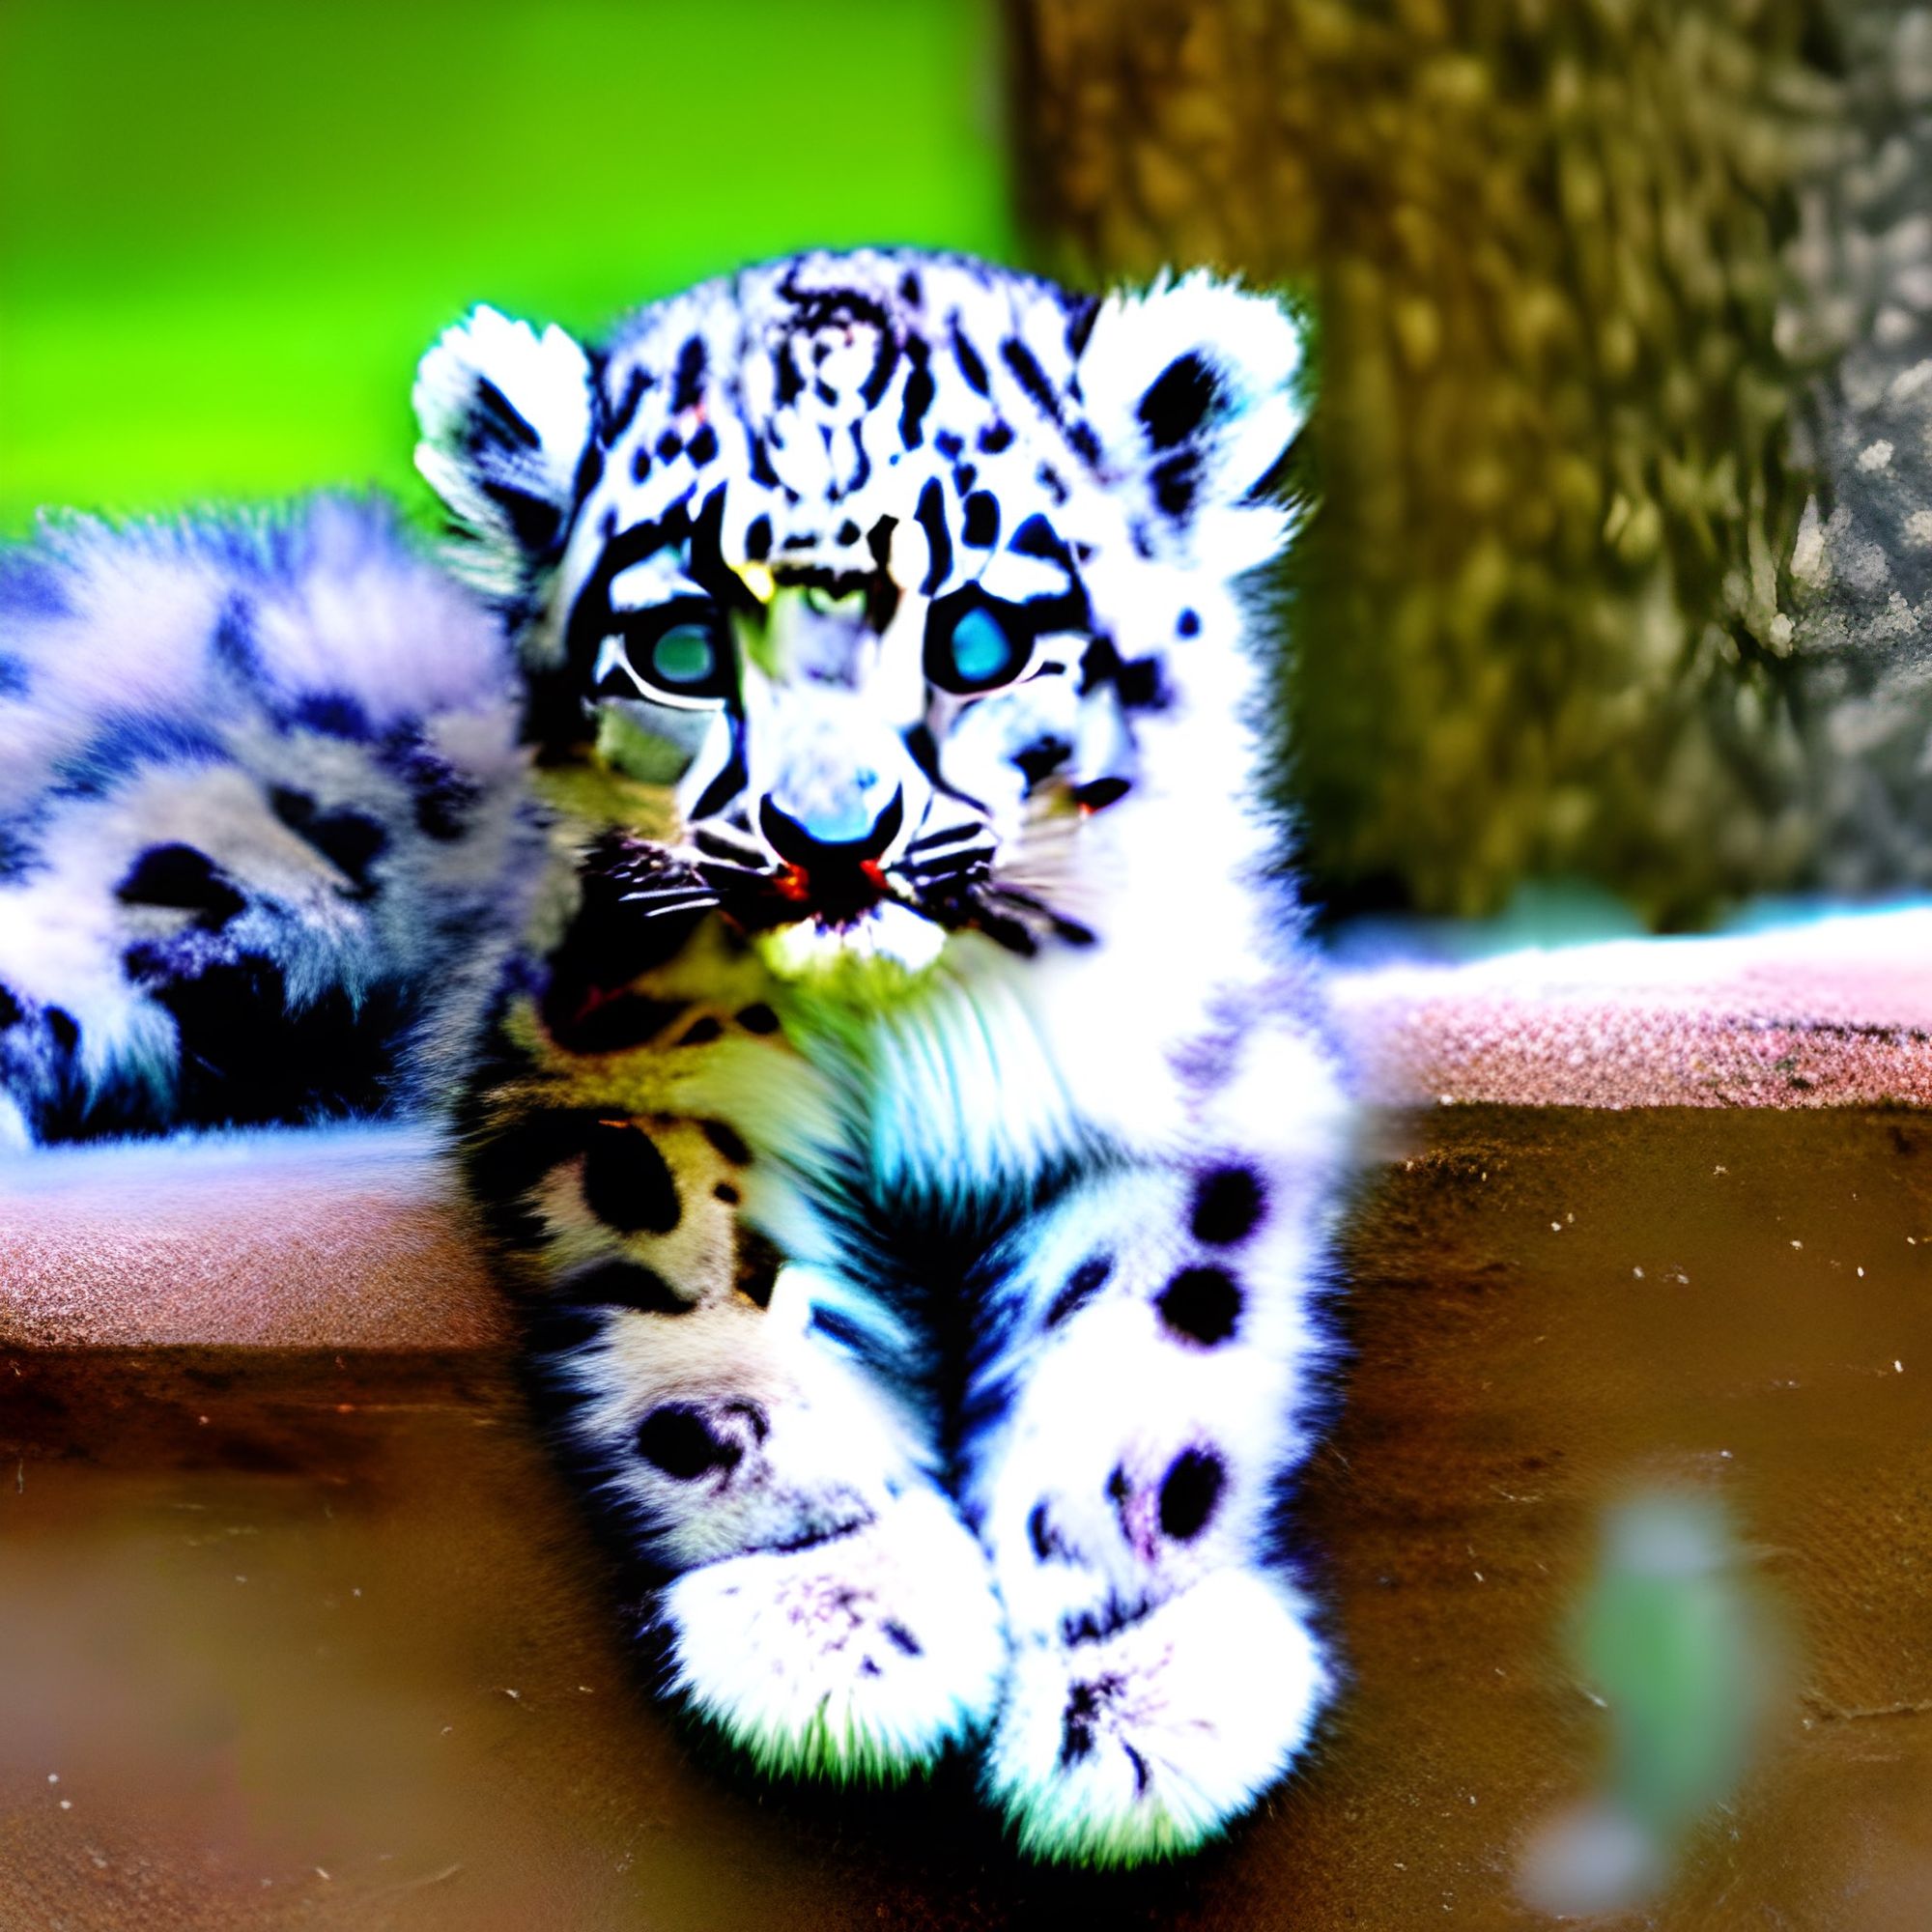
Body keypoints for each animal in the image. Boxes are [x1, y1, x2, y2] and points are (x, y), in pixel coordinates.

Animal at [0, 247, 1351, 1866]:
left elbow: (1157, 1337)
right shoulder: (618, 1068)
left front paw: (1136, 1678)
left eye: (978, 638)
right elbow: (721, 1313)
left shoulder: (1196, 1081)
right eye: (685, 648)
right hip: (202, 876)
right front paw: (837, 1608)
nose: (831, 840)